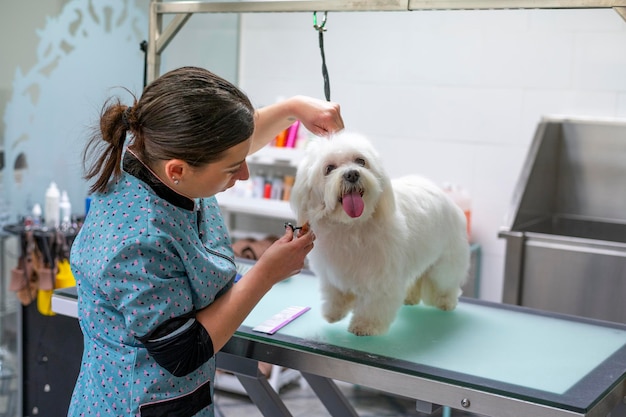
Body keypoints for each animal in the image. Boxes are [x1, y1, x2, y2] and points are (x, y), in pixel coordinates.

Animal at [292, 132, 468, 334]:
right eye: (329, 168)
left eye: (361, 161)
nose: (352, 174)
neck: (351, 226)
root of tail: (445, 196)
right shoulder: (332, 273)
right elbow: (335, 294)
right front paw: (334, 312)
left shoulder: (380, 278)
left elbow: (374, 303)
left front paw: (365, 325)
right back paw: (410, 297)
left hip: (446, 263)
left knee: (447, 282)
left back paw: (446, 302)